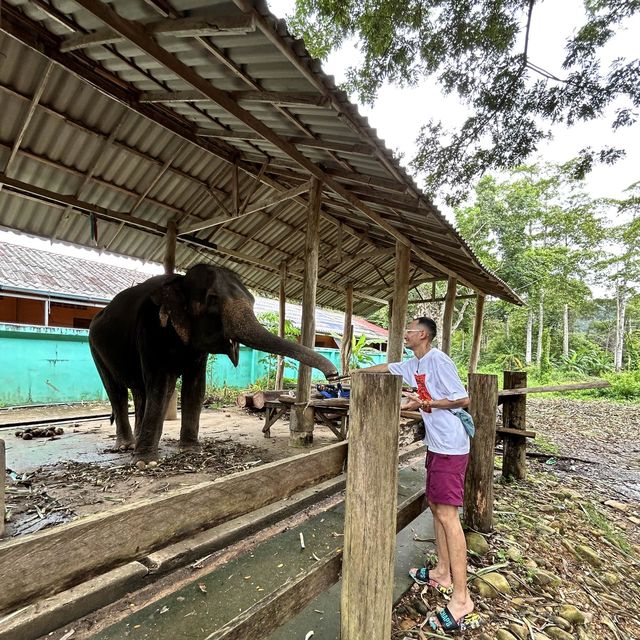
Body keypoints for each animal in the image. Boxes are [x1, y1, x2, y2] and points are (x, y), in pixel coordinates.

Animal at [90, 262, 340, 462]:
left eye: (252, 300)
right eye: (212, 301)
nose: (334, 376)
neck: (180, 282)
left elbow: (195, 387)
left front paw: (190, 451)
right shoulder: (152, 328)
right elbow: (161, 386)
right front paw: (145, 462)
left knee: (140, 391)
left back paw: (136, 442)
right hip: (95, 346)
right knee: (118, 392)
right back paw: (127, 446)